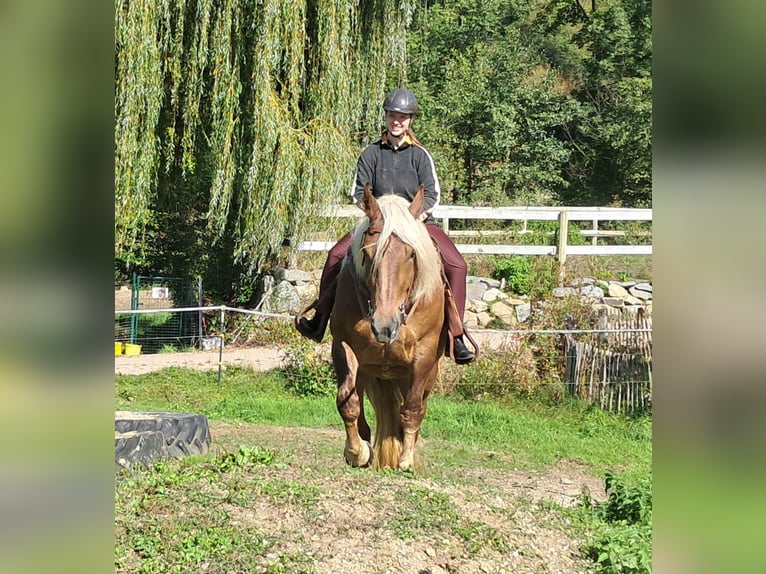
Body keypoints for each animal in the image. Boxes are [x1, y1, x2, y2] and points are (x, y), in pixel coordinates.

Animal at [328, 184, 448, 472]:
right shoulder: (343, 346)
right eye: (367, 252)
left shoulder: (423, 356)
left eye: (411, 254)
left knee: (417, 406)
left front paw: (405, 460)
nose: (384, 326)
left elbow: (413, 408)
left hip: (423, 373)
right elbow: (347, 402)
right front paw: (356, 452)